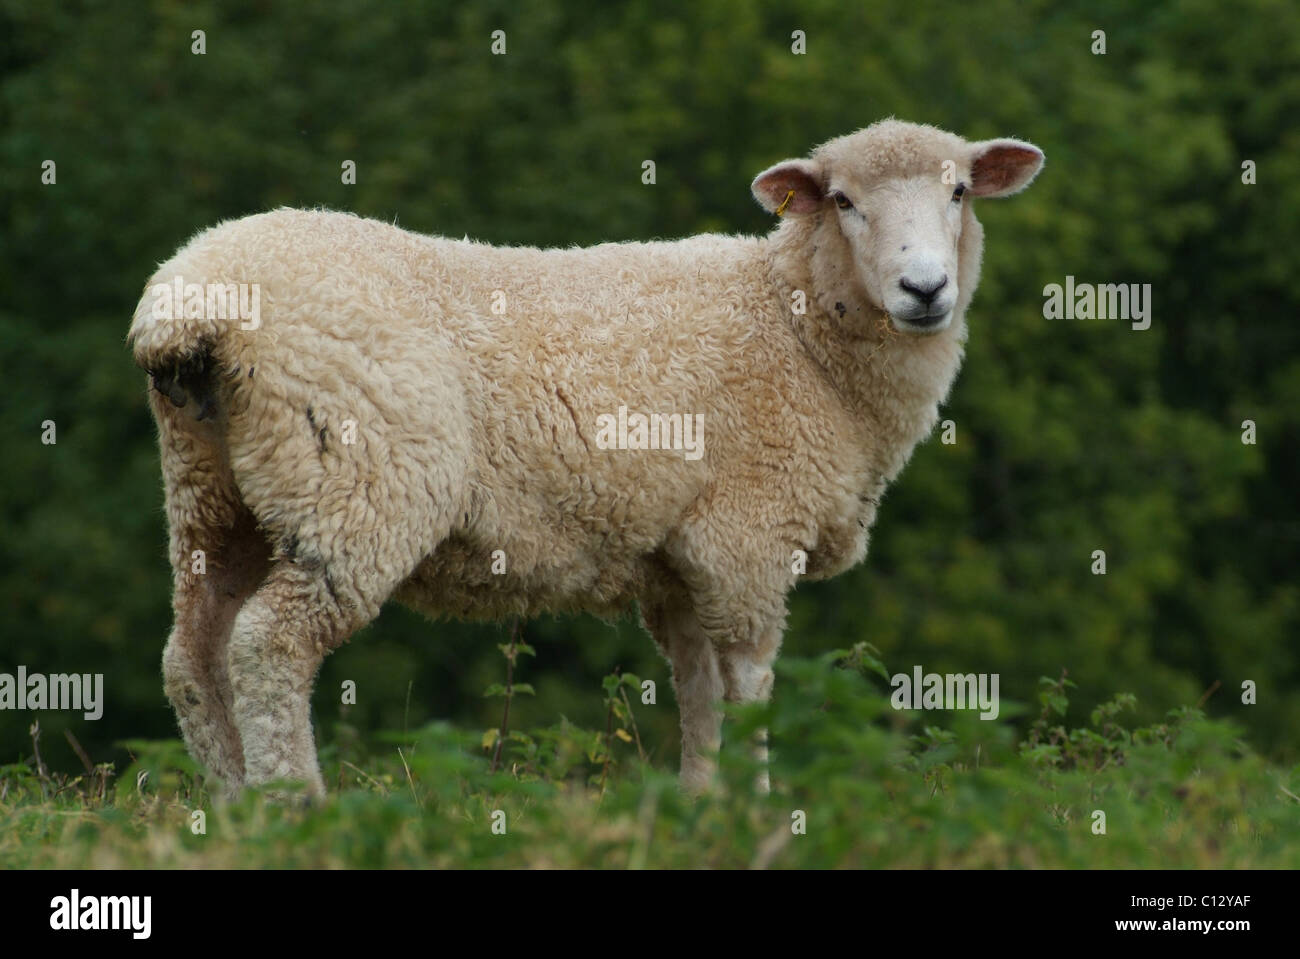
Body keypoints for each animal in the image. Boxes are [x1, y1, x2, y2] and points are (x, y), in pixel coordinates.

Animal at [129, 119, 1045, 795]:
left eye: (959, 191)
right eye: (846, 202)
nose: (925, 290)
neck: (793, 321)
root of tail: (190, 301)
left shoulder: (682, 558)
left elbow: (699, 690)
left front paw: (702, 806)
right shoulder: (746, 535)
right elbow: (749, 689)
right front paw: (757, 812)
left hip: (213, 490)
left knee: (193, 656)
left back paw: (234, 804)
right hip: (355, 481)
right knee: (269, 647)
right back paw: (298, 806)